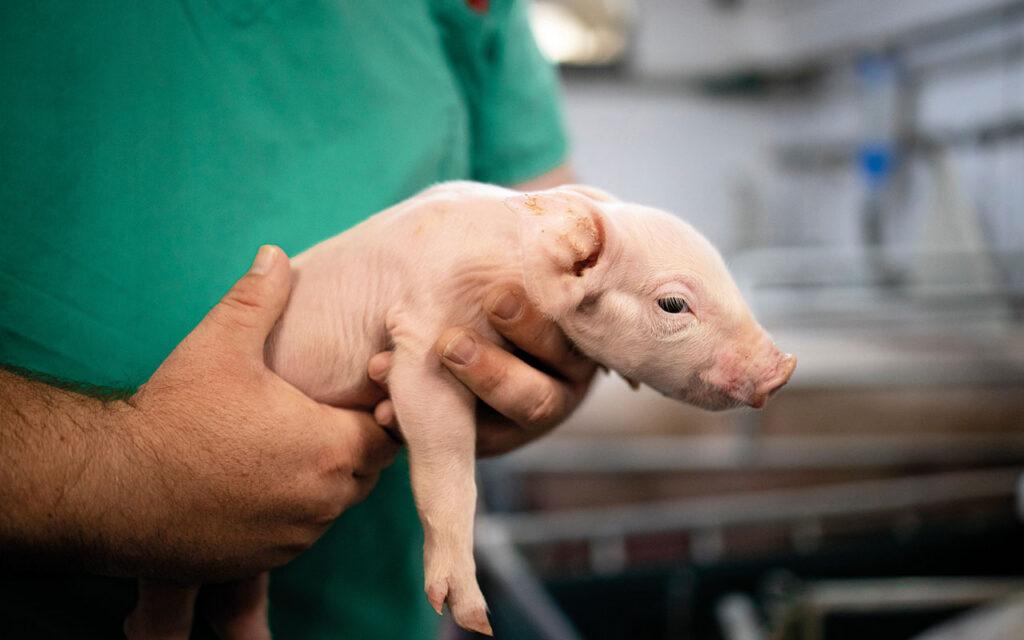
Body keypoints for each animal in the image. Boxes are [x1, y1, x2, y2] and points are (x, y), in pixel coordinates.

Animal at [125, 181, 795, 638]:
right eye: (673, 304)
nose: (784, 367)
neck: (503, 266)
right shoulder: (426, 335)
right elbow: (448, 466)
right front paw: (474, 619)